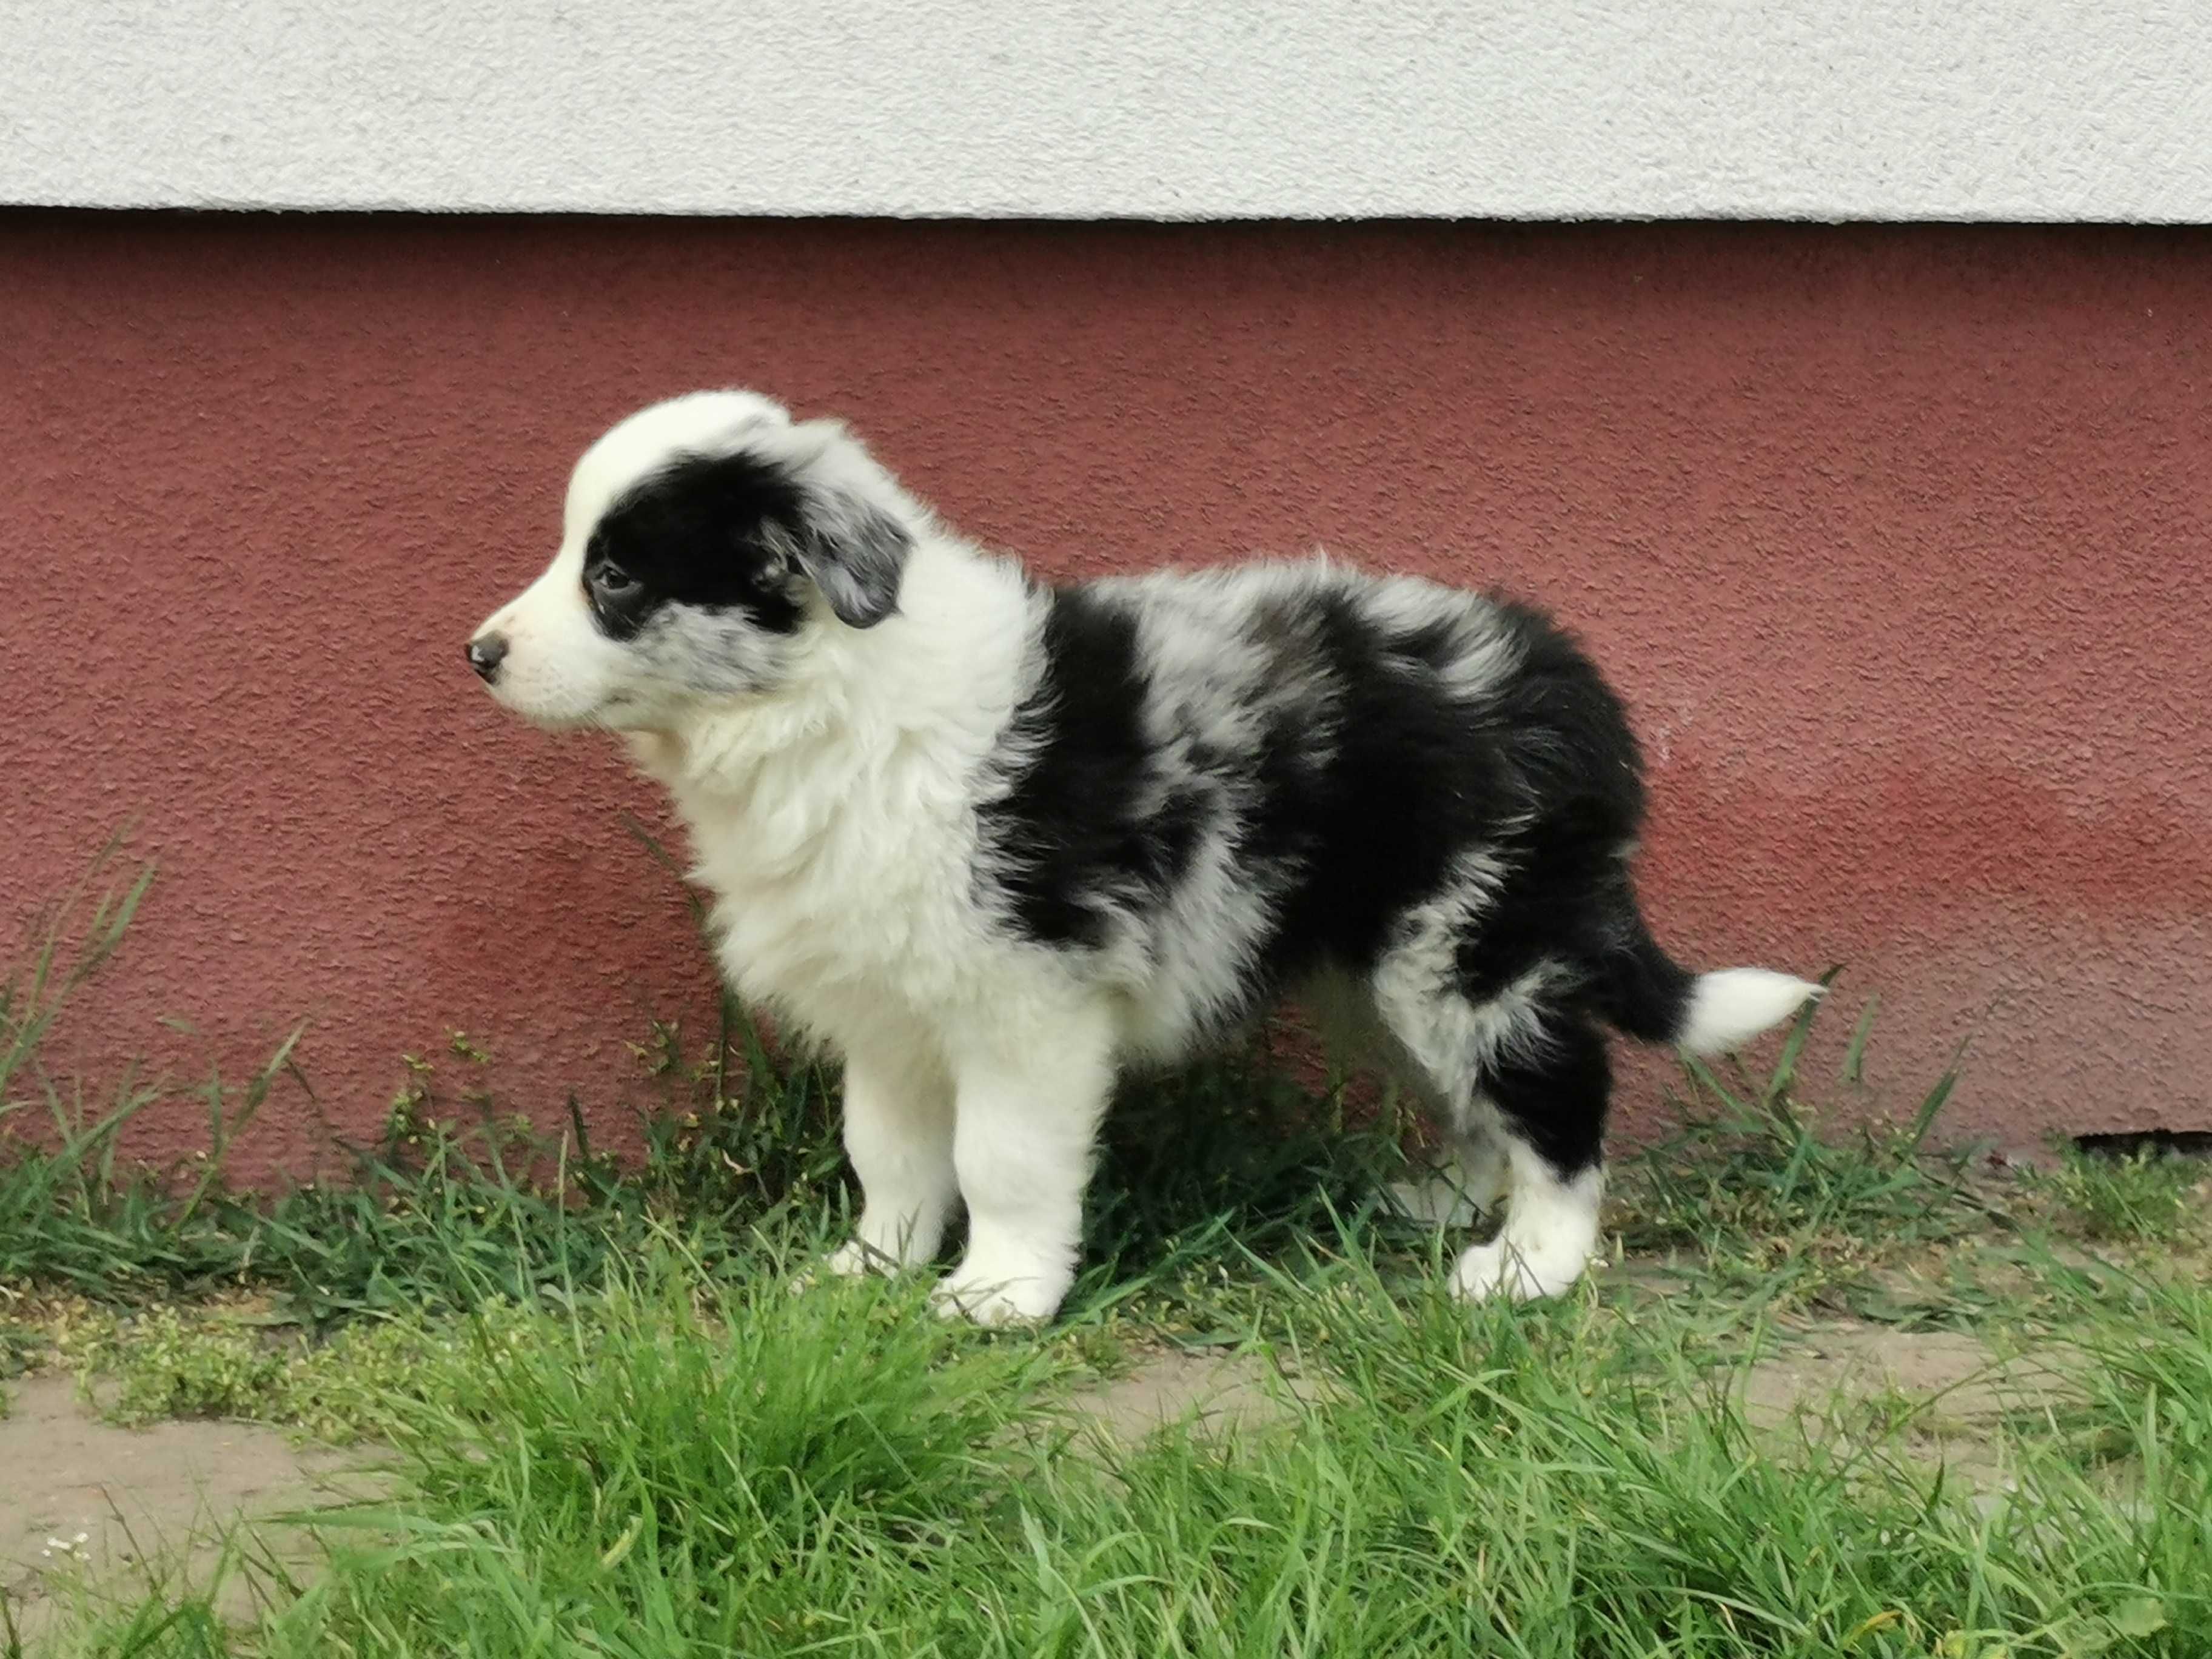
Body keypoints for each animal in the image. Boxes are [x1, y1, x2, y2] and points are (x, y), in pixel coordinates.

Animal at [466, 389, 1814, 1327]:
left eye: (615, 576)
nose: (478, 653)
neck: (828, 703)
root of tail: (1563, 680)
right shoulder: (888, 1005)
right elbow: (888, 1151)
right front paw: (870, 1269)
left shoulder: (1027, 999)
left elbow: (1001, 1158)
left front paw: (998, 1296)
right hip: (1382, 969)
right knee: (1478, 1098)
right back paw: (1444, 1206)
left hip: (1472, 941)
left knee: (1559, 1095)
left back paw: (1530, 1267)